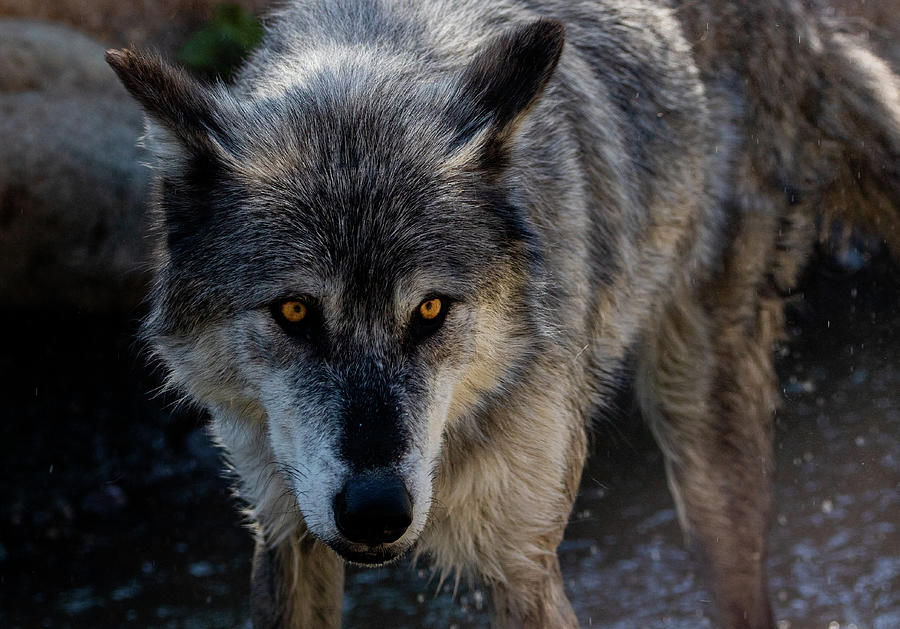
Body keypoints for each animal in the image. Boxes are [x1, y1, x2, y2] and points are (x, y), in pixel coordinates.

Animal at [107, 1, 900, 624]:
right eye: (296, 311)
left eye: (430, 308)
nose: (376, 509)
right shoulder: (283, 532)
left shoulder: (523, 561)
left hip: (700, 436)